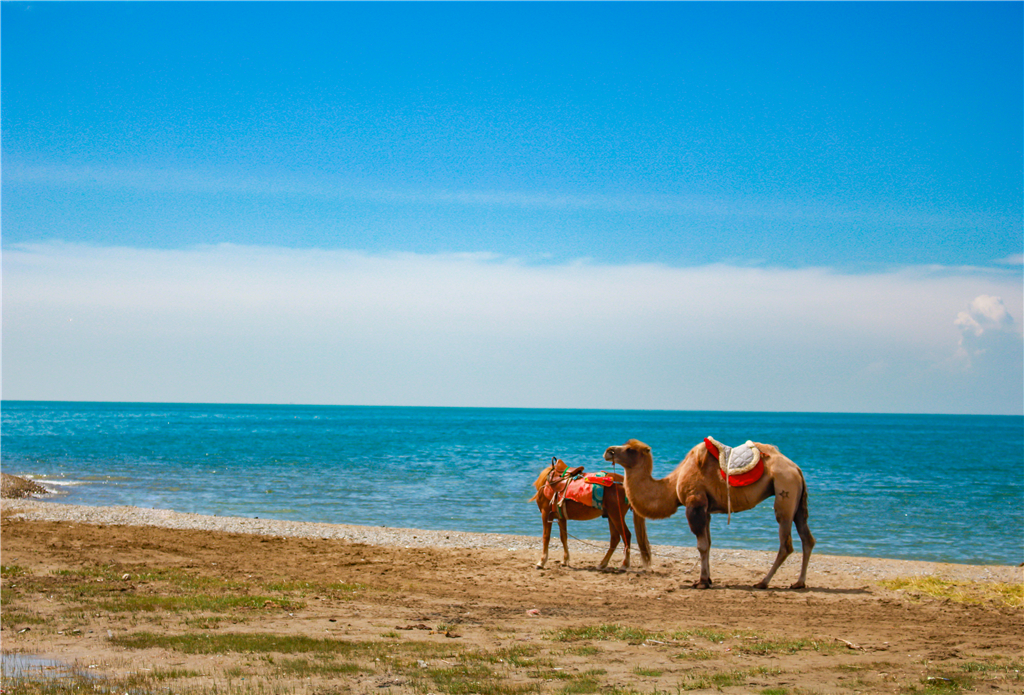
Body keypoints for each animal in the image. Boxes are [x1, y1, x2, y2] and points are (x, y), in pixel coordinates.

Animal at [602, 438, 811, 589]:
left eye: (630, 450)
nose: (608, 450)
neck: (672, 485)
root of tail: (797, 468)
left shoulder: (695, 503)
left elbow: (701, 546)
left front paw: (702, 582)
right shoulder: (707, 509)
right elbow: (709, 544)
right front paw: (708, 579)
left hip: (785, 489)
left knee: (786, 543)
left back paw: (763, 582)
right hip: (797, 500)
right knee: (807, 538)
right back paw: (798, 583)